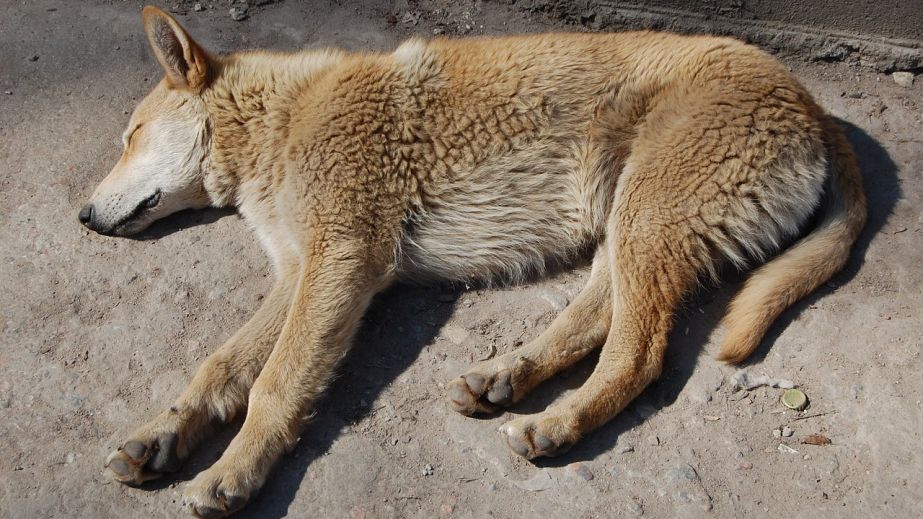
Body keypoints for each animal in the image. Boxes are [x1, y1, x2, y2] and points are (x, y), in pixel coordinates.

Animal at [79, 5, 868, 519]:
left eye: (131, 135)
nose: (82, 217)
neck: (283, 119)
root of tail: (809, 102)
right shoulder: (301, 270)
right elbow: (220, 368)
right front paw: (162, 435)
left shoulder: (339, 261)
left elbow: (275, 383)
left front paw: (234, 471)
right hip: (627, 224)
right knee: (596, 318)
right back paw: (507, 376)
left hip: (648, 219)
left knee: (638, 353)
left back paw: (559, 421)